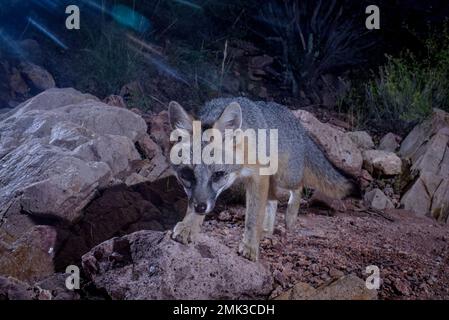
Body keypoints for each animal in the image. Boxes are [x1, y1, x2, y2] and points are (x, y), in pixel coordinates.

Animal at [166, 98, 356, 262]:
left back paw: (290, 218)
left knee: (298, 187)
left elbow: (253, 217)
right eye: (186, 175)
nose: (200, 207)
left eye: (218, 175)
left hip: (284, 177)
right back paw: (266, 230)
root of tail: (299, 125)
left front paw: (250, 246)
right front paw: (188, 226)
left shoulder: (257, 178)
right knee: (273, 200)